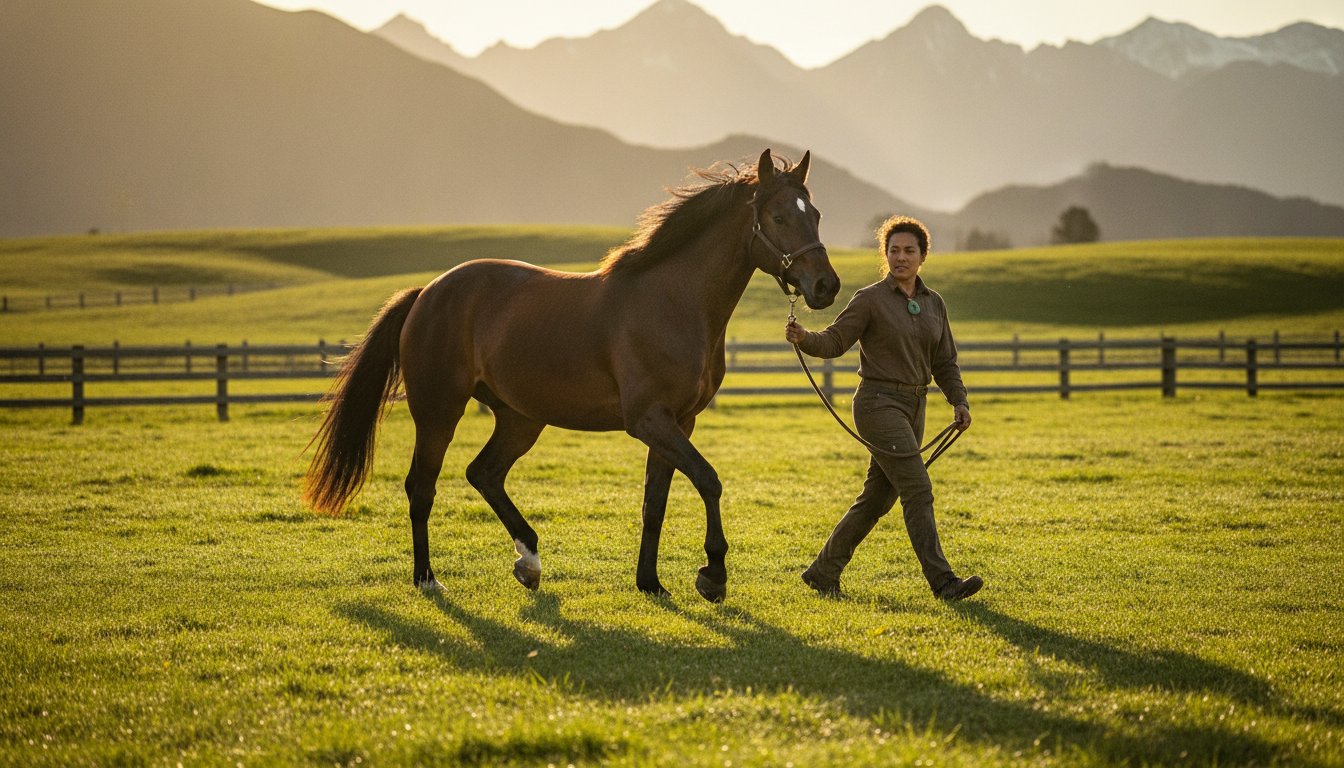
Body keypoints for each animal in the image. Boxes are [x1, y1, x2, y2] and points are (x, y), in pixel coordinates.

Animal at [303, 149, 840, 602]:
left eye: (814, 214)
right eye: (778, 216)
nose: (825, 286)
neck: (672, 301)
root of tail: (427, 292)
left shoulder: (677, 423)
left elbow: (656, 503)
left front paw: (650, 582)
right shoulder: (649, 420)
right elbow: (709, 480)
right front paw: (713, 574)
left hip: (520, 419)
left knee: (483, 473)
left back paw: (529, 562)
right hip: (439, 413)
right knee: (422, 488)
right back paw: (428, 579)